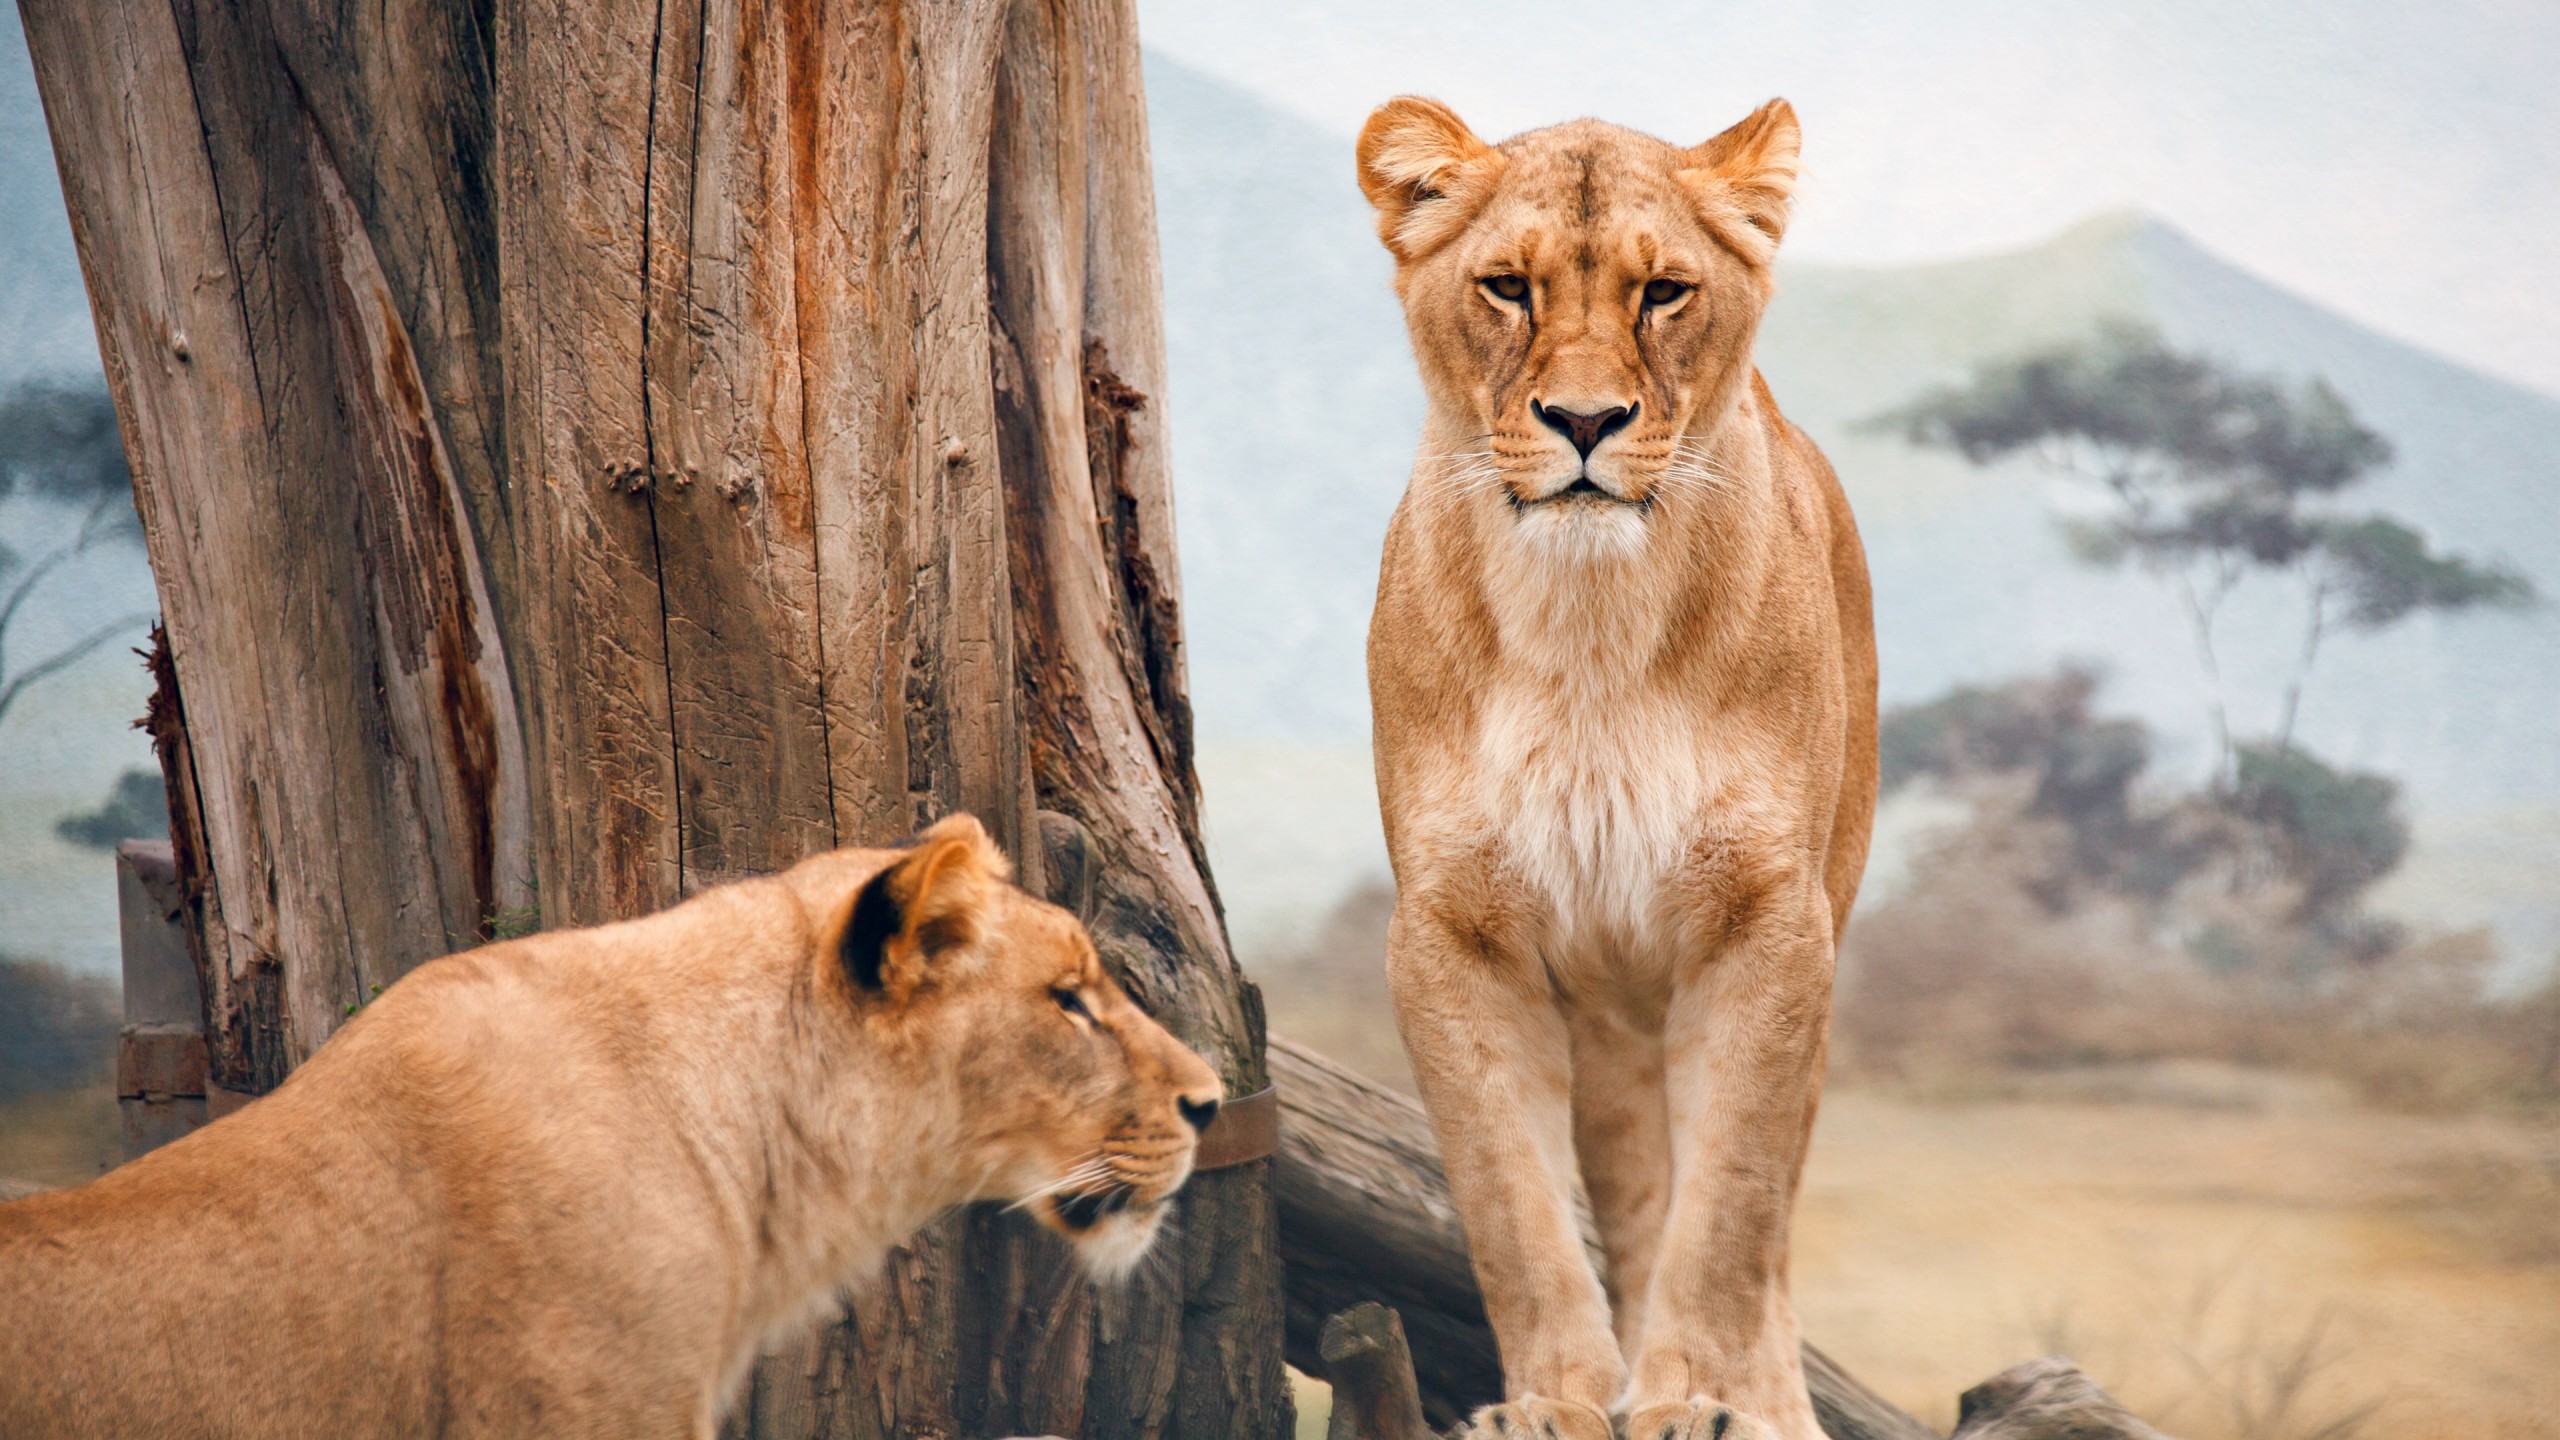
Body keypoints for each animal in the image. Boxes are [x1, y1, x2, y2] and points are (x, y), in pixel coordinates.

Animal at [1357, 96, 1877, 1440]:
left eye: (1663, 292)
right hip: (1607, 1010)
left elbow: (1730, 1210)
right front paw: (1554, 1401)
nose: (1585, 425)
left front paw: (1700, 1399)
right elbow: (1512, 1204)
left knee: (1762, 1220)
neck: (1586, 624)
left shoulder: (1768, 922)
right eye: (1506, 287)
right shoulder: (1451, 932)